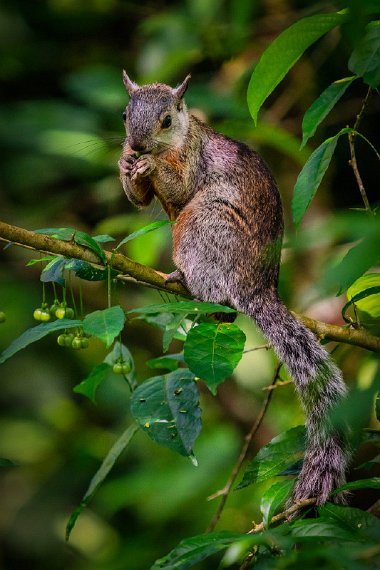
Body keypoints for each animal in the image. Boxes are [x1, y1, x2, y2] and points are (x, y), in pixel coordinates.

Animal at [119, 73, 350, 504]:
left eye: (166, 120)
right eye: (125, 114)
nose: (137, 146)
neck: (182, 137)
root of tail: (257, 286)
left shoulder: (192, 160)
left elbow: (178, 188)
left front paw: (150, 165)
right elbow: (140, 199)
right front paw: (125, 165)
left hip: (205, 227)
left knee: (213, 282)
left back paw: (184, 278)